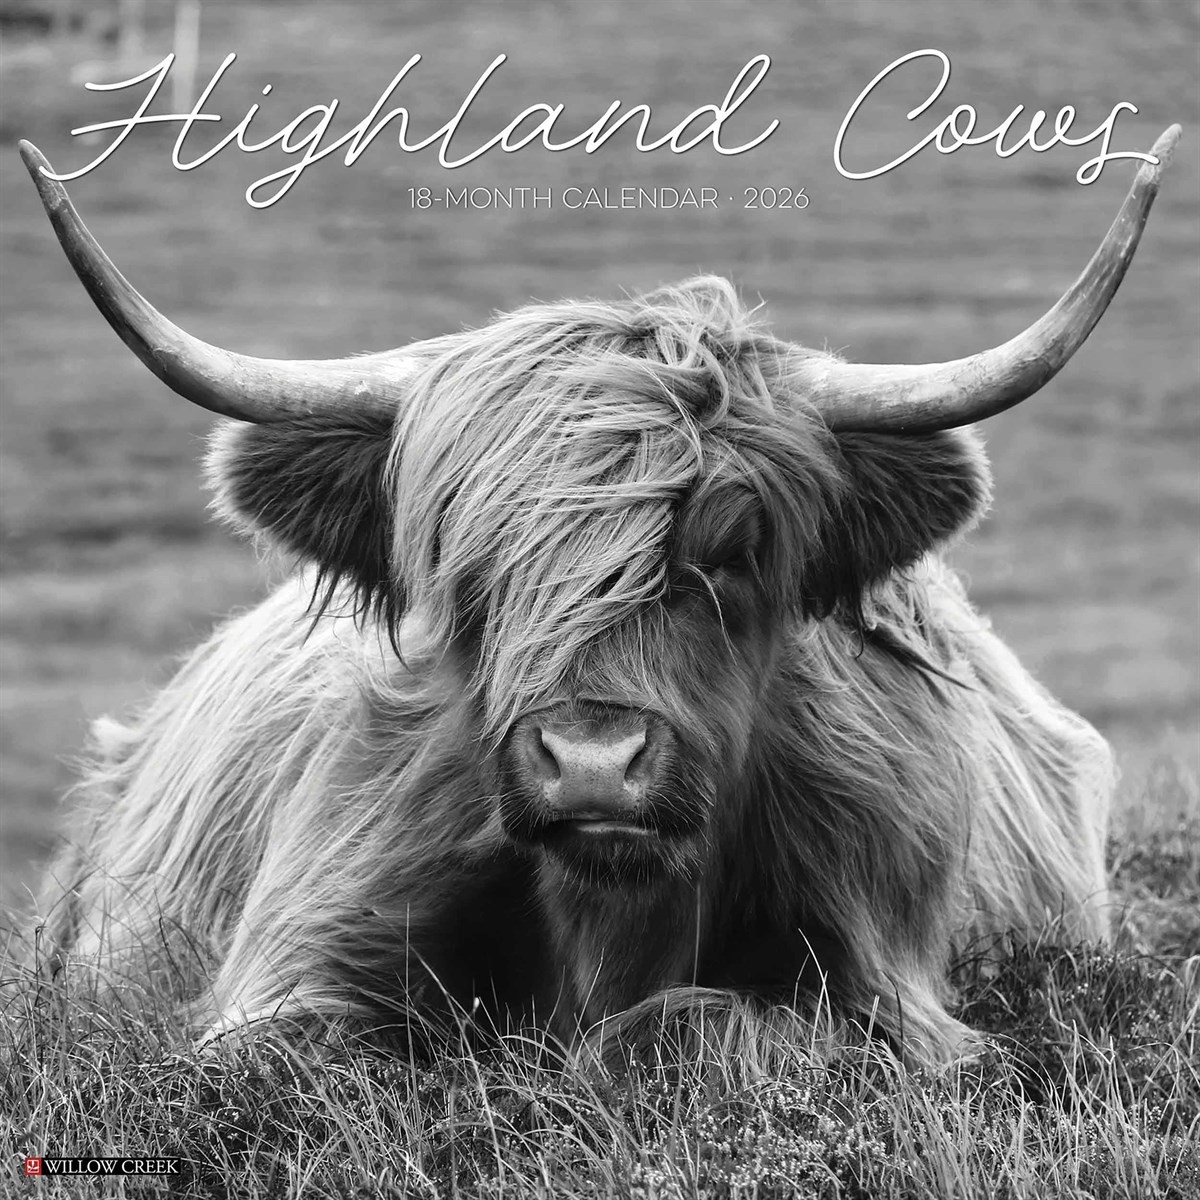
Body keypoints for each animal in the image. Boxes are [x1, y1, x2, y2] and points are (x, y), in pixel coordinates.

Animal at [18, 126, 1179, 1067]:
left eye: (736, 550)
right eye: (466, 562)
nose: (590, 763)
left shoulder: (896, 998)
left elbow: (691, 1023)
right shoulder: (291, 969)